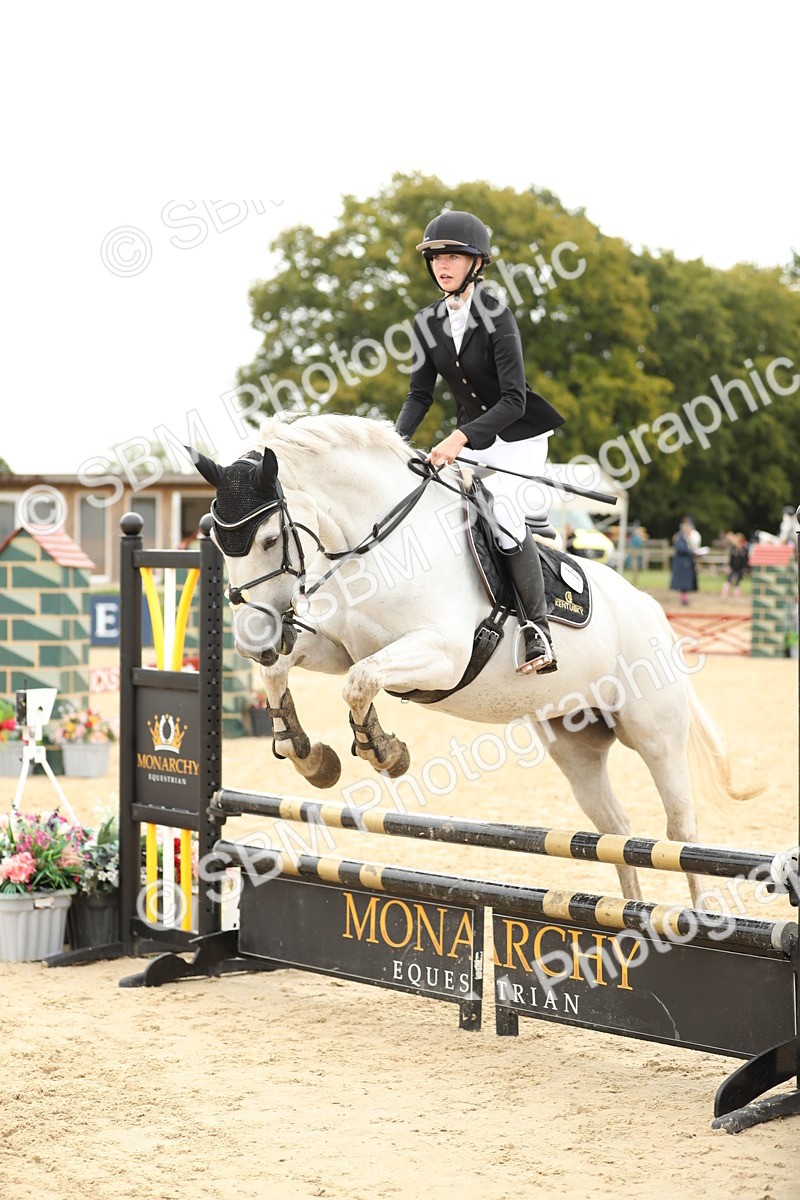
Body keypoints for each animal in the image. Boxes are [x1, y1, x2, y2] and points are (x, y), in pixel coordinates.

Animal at [190, 413, 752, 906]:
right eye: (217, 538)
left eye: (269, 539)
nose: (254, 639)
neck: (380, 546)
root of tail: (652, 609)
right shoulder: (337, 646)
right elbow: (291, 672)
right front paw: (308, 754)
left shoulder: (442, 654)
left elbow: (359, 681)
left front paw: (384, 751)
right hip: (576, 741)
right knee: (615, 832)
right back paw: (626, 922)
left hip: (655, 734)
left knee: (679, 831)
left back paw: (692, 919)